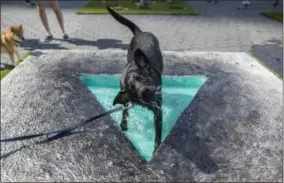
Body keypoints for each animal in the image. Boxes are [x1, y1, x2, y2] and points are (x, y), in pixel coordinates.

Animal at [106, 6, 164, 152]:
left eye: (143, 77)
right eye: (132, 88)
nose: (146, 91)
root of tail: (140, 32)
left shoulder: (158, 110)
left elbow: (158, 135)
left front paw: (156, 149)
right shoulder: (126, 100)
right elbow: (124, 112)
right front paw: (123, 125)